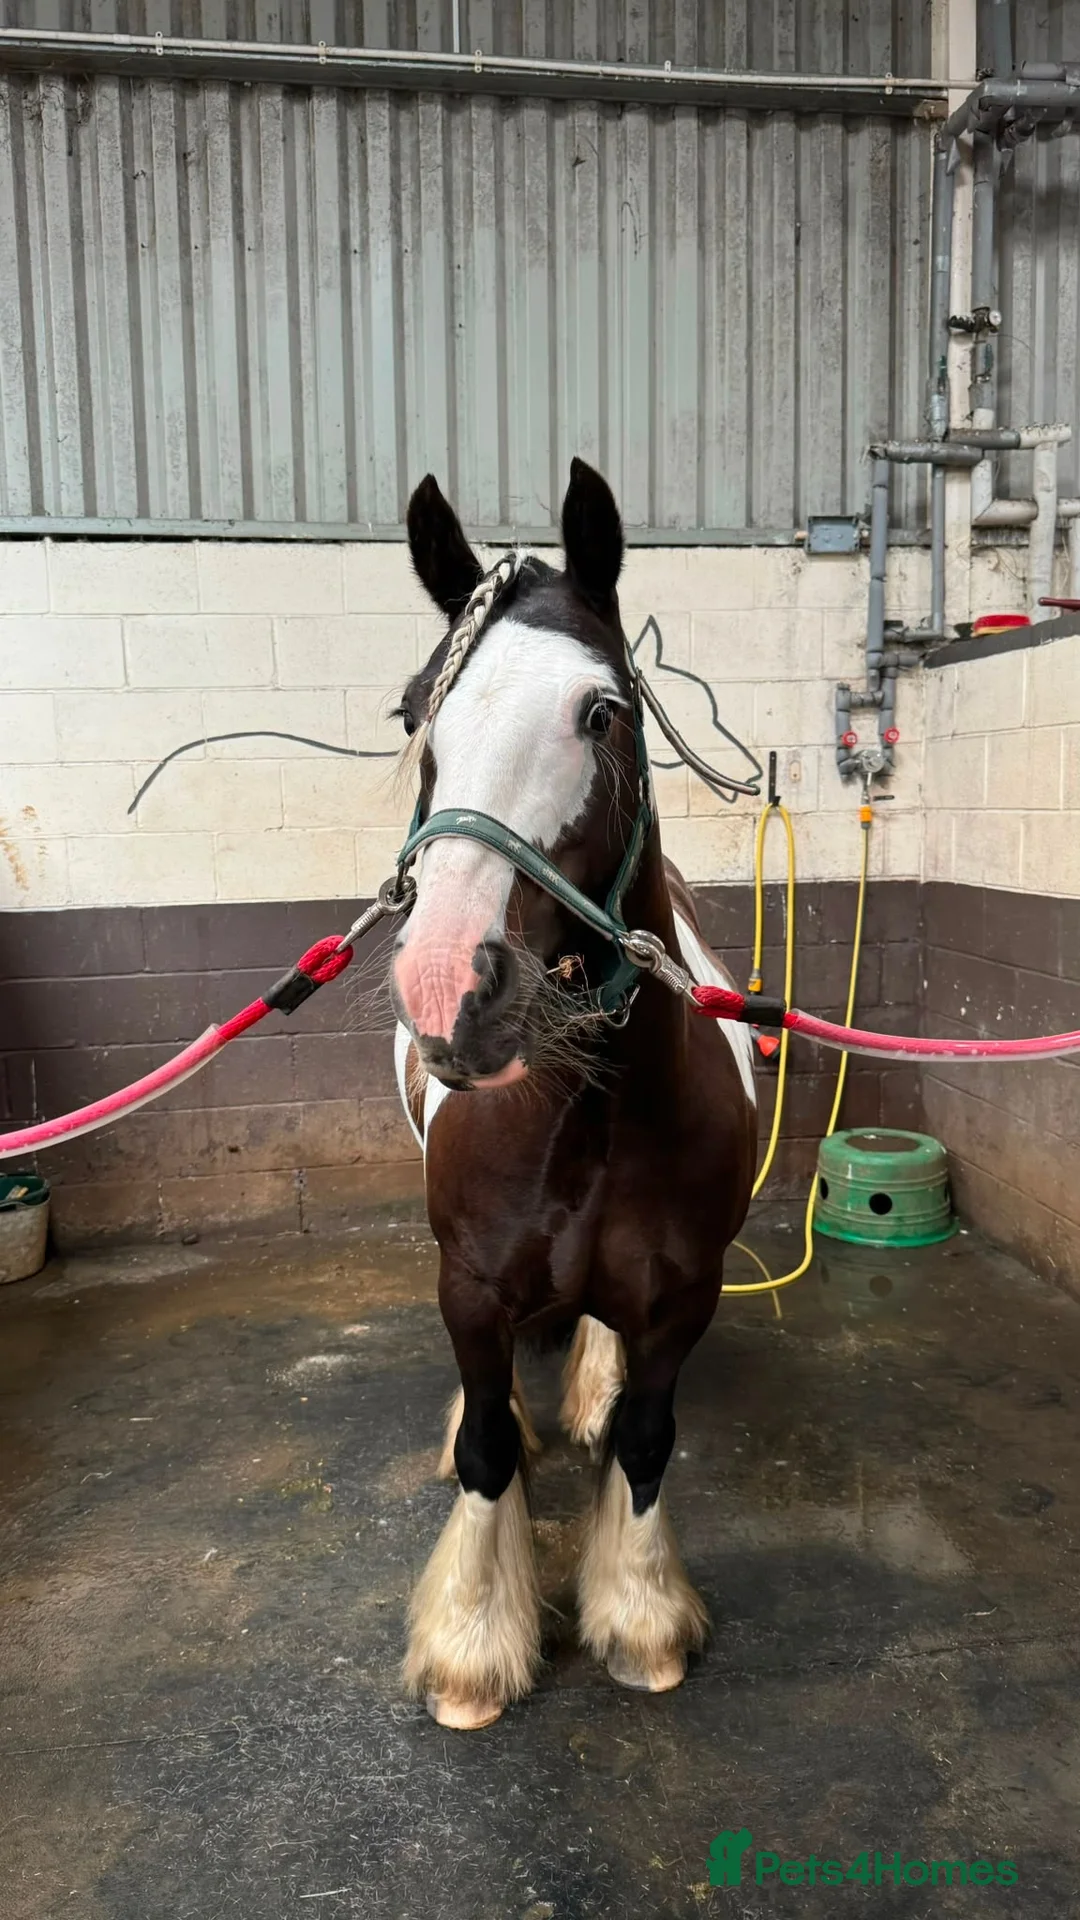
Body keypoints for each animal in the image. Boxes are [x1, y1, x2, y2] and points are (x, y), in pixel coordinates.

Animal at [387, 457, 757, 1730]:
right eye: (415, 713)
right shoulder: (469, 1284)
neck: (588, 1115)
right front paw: (471, 1648)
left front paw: (641, 1620)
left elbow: (646, 1440)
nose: (447, 982)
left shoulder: (685, 1294)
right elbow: (492, 1451)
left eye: (603, 711)